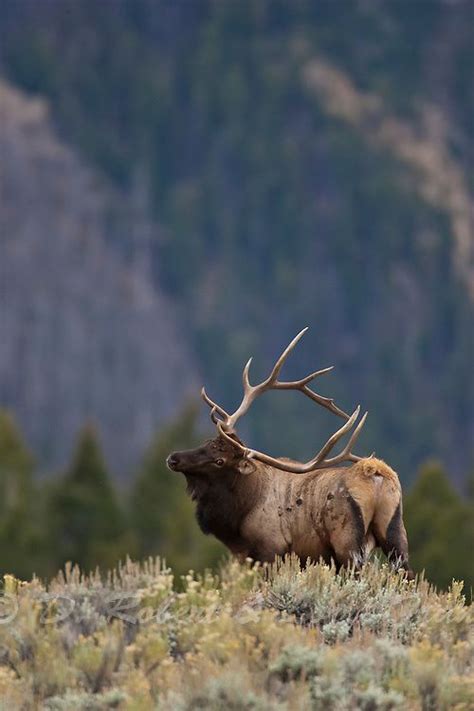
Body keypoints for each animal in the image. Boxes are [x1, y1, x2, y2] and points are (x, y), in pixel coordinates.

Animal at [168, 328, 412, 580]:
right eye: (206, 442)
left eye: (219, 461)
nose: (174, 458)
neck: (240, 514)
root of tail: (375, 474)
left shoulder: (269, 550)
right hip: (395, 532)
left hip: (347, 541)